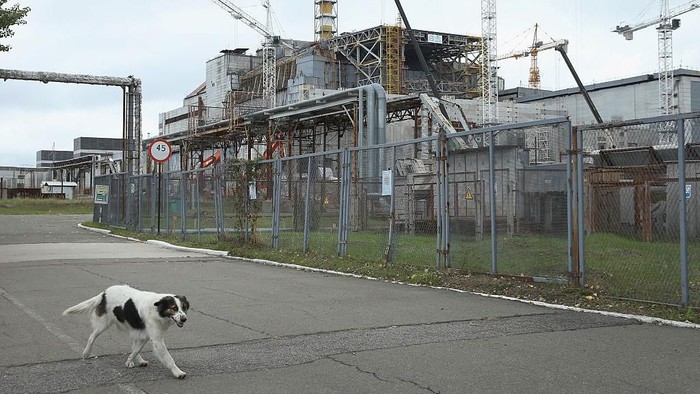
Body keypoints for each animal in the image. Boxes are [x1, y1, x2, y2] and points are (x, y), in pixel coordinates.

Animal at [61, 284, 189, 378]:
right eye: (174, 308)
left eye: (184, 307)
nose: (184, 319)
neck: (157, 309)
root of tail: (104, 293)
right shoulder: (157, 340)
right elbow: (169, 358)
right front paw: (178, 372)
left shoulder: (146, 335)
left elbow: (136, 350)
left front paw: (129, 361)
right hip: (102, 325)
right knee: (92, 337)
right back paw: (86, 353)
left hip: (133, 327)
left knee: (134, 345)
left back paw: (138, 361)